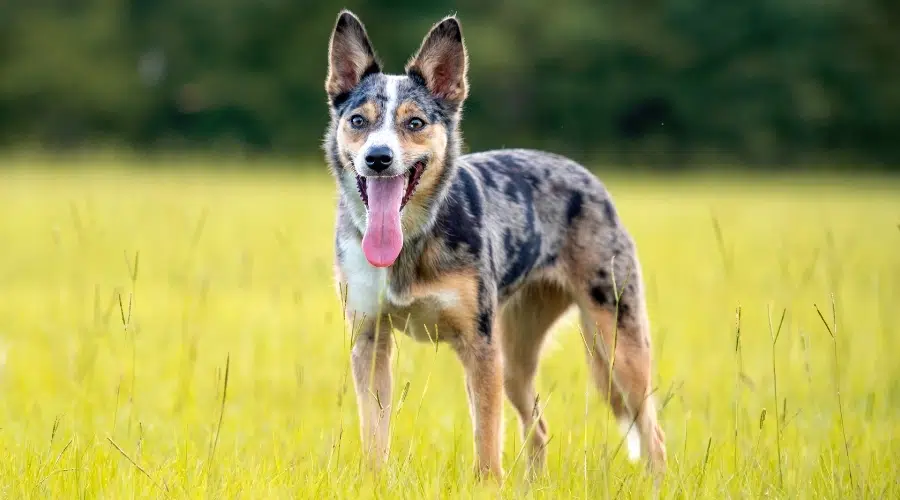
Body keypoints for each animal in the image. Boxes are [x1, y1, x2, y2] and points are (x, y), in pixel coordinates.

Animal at [324, 10, 668, 480]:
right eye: (359, 121)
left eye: (415, 123)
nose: (378, 158)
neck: (412, 239)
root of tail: (588, 178)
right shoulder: (370, 340)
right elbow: (375, 431)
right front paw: (374, 481)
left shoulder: (479, 345)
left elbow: (486, 439)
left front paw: (487, 484)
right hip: (517, 358)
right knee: (538, 427)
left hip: (616, 343)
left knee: (652, 433)